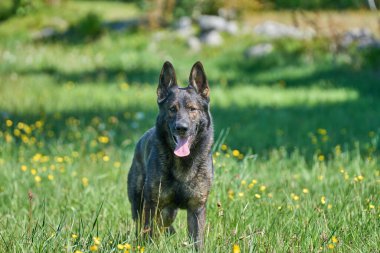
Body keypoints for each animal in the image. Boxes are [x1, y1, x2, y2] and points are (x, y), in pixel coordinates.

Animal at [127, 60, 214, 249]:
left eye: (192, 109)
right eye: (172, 109)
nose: (181, 128)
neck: (183, 164)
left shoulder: (196, 208)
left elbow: (197, 241)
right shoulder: (152, 204)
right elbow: (148, 233)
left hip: (168, 212)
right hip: (142, 204)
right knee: (144, 227)